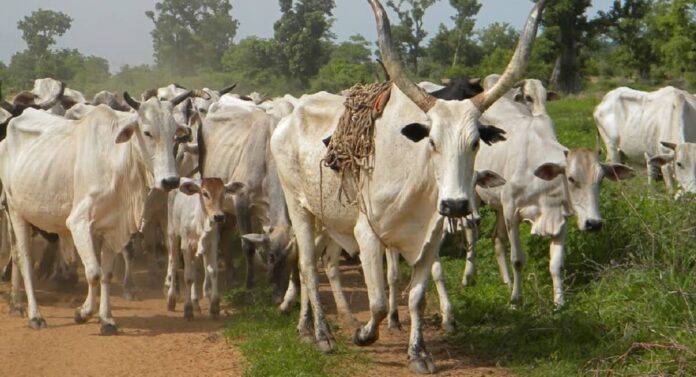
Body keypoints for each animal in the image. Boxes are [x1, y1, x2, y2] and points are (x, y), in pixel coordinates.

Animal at [0, 89, 190, 330]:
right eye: (147, 132)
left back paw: (19, 304)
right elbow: (93, 273)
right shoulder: (79, 223)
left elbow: (106, 274)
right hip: (16, 212)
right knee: (24, 260)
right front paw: (83, 312)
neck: (116, 162)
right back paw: (34, 315)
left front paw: (106, 319)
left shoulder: (113, 228)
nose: (170, 181)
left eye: (175, 133)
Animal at [167, 178, 243, 318]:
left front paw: (214, 307)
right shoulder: (186, 246)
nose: (219, 216)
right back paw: (171, 299)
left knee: (195, 270)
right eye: (205, 193)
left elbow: (213, 271)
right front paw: (187, 310)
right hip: (172, 234)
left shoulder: (212, 244)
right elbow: (188, 277)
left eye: (224, 192)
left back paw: (196, 303)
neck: (200, 222)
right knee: (173, 263)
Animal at [270, 0, 548, 372]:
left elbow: (416, 296)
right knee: (307, 267)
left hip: (328, 217)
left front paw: (419, 353)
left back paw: (307, 325)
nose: (456, 205)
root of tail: (288, 117)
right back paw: (323, 334)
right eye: (431, 142)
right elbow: (376, 301)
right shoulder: (367, 235)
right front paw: (365, 335)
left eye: (476, 142)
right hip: (298, 206)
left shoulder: (430, 238)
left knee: (314, 262)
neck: (417, 183)